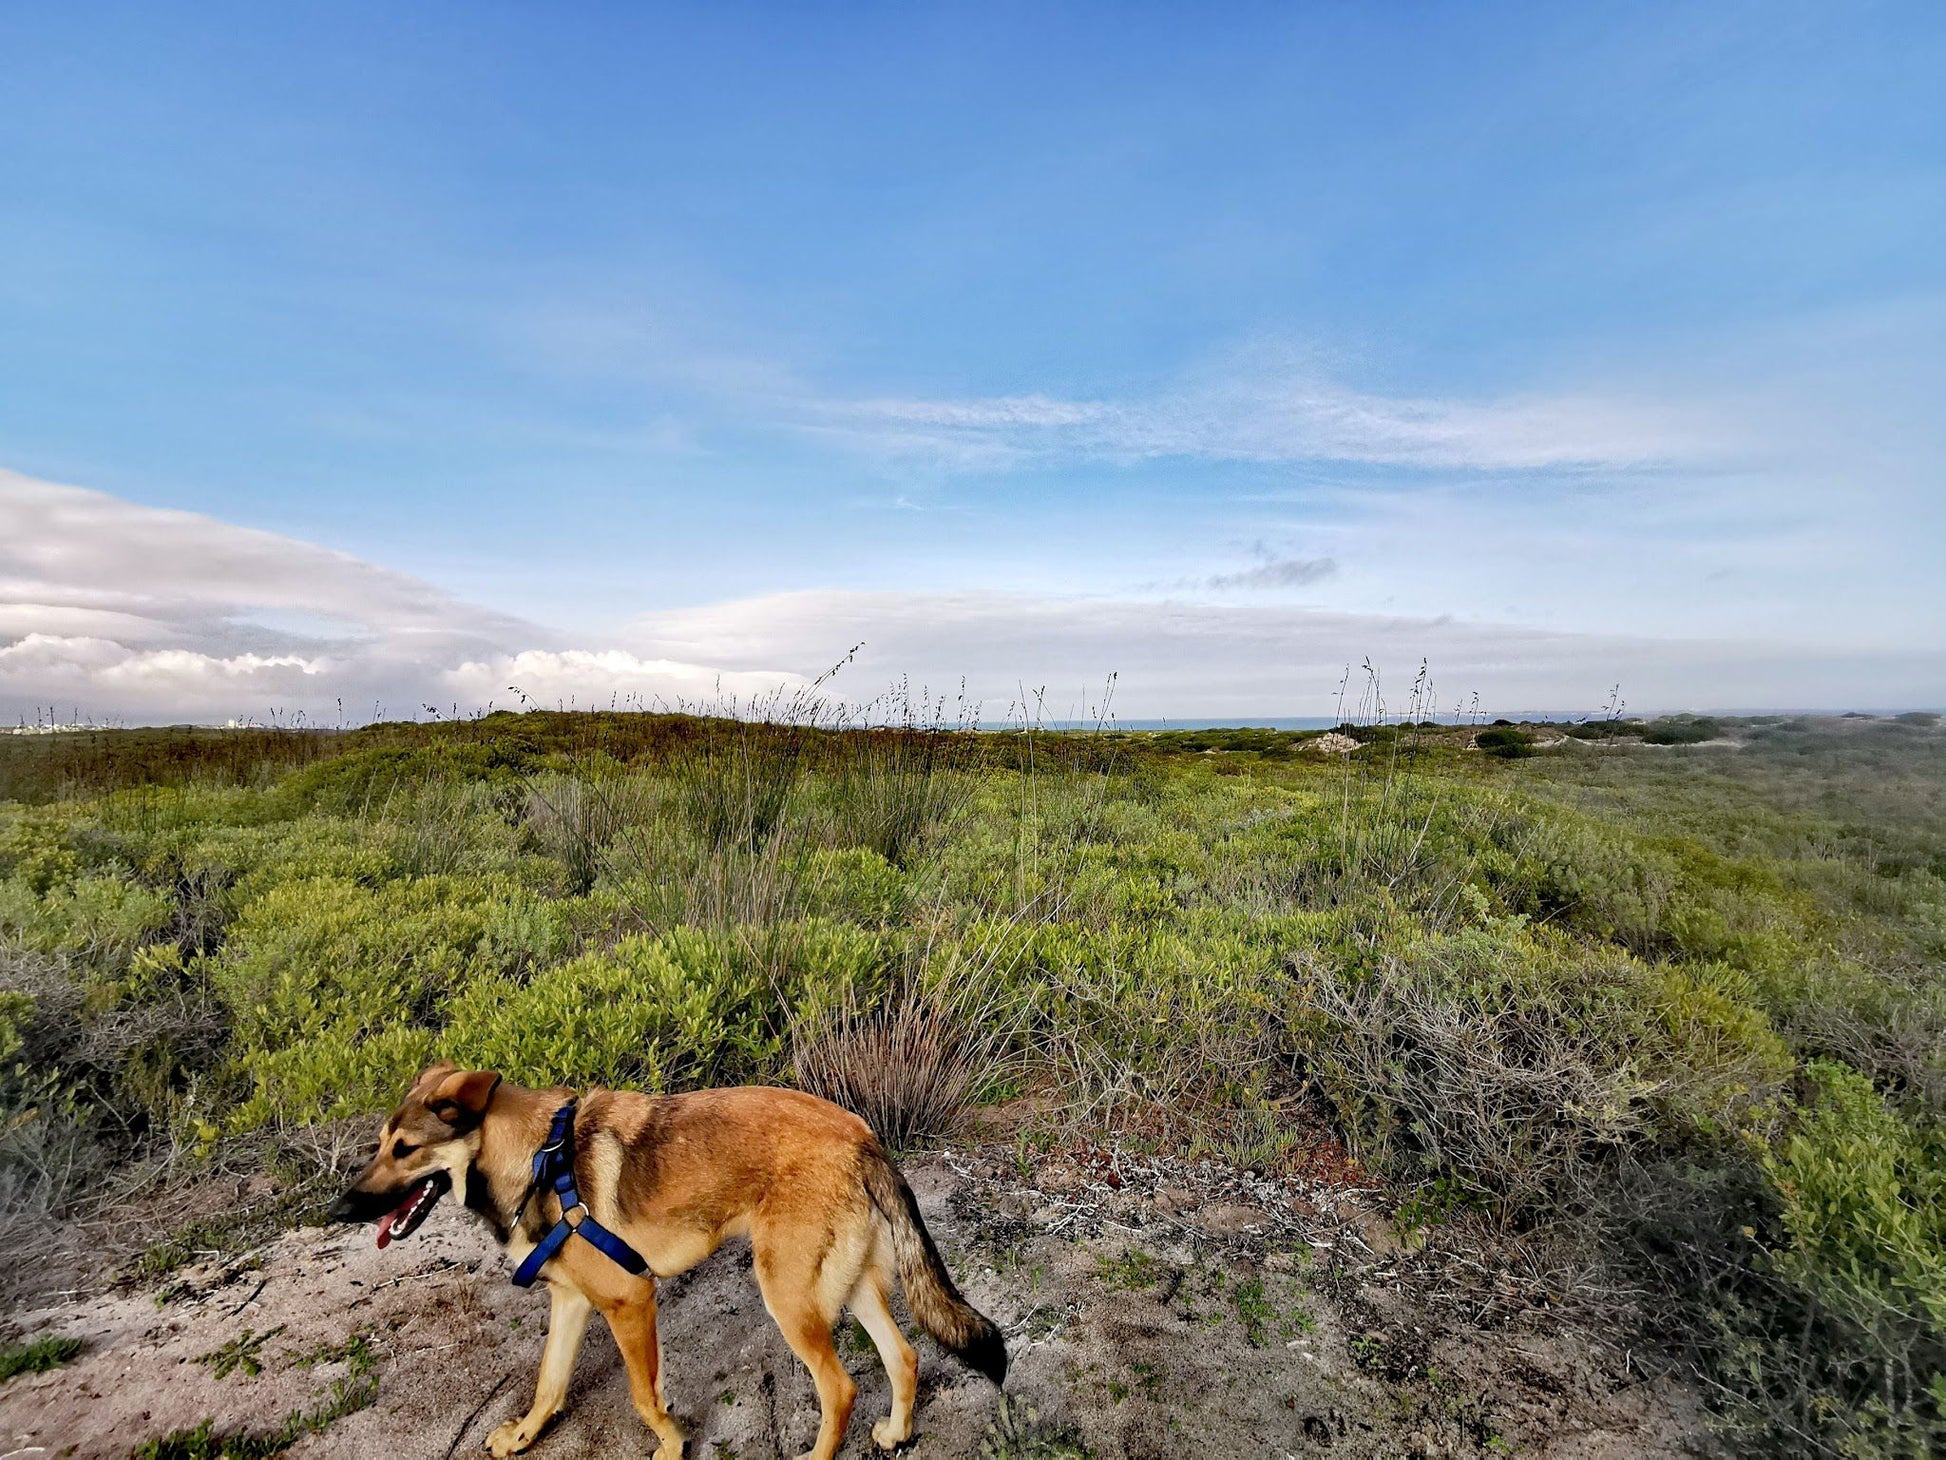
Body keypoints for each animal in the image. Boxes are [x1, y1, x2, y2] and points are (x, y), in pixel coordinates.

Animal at [324, 1066, 1004, 1460]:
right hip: (842, 1286)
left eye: (406, 1149)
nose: (339, 1208)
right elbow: (549, 1383)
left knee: (840, 1388)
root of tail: (863, 1137)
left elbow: (643, 1397)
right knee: (904, 1356)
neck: (540, 1158)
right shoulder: (572, 1303)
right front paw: (522, 1436)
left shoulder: (629, 1302)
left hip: (787, 1296)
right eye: (379, 1145)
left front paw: (673, 1446)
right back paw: (896, 1433)